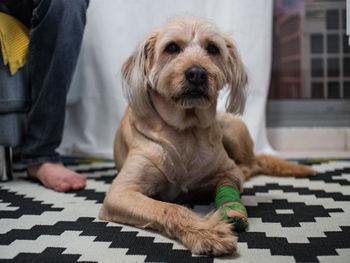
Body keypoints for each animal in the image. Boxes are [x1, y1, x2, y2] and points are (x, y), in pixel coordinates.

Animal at [99, 16, 314, 256]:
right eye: (171, 47)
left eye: (213, 48)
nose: (197, 74)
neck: (185, 130)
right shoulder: (121, 192)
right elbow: (169, 208)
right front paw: (206, 232)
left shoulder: (228, 172)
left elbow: (228, 183)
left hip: (230, 128)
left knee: (253, 164)